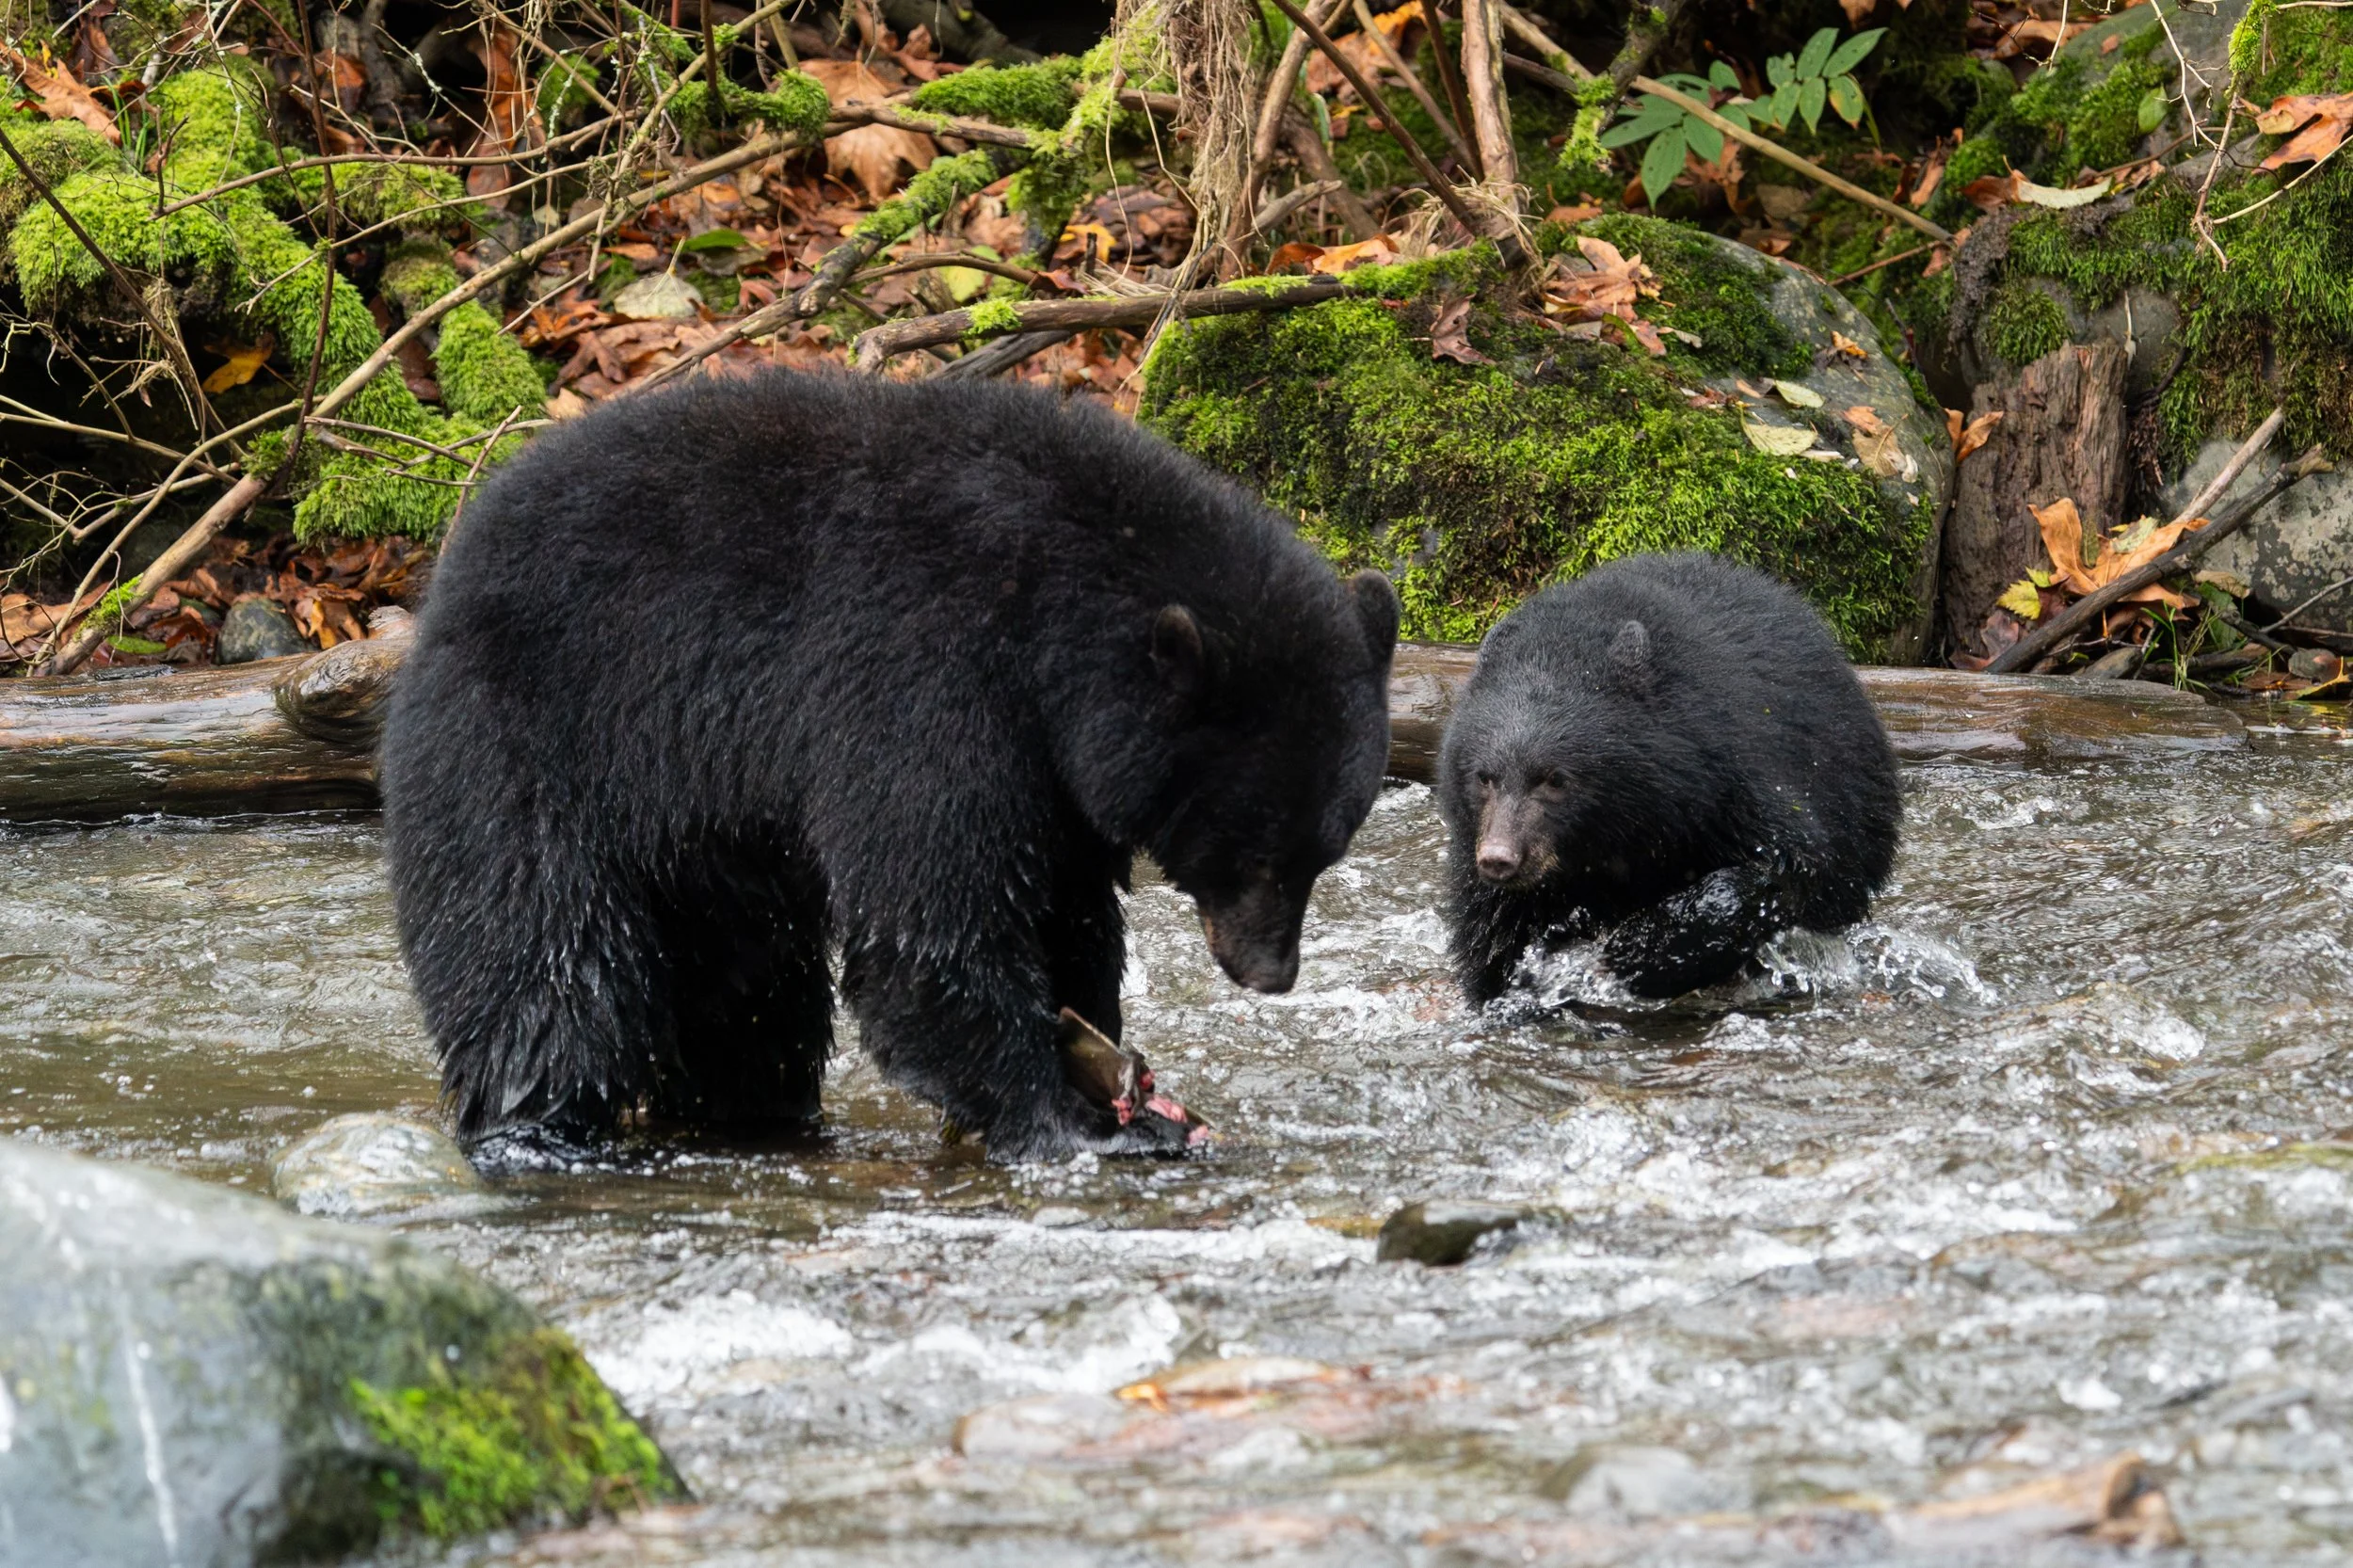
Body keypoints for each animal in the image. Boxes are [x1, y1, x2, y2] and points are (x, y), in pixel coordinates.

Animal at [379, 371, 1398, 1163]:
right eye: (1250, 851)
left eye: (1326, 850)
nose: (1270, 972)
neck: (1047, 614)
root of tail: (443, 577)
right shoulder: (922, 677)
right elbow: (931, 925)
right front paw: (1077, 1120)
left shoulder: (1048, 773)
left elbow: (1064, 910)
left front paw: (1097, 1054)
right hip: (532, 743)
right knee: (544, 966)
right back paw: (537, 1128)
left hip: (706, 840)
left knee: (749, 1001)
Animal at [1436, 552, 1900, 1004]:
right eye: (1484, 777)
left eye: (1554, 779)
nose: (1500, 858)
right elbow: (1493, 939)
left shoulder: (1734, 778)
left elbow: (1794, 864)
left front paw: (1638, 949)